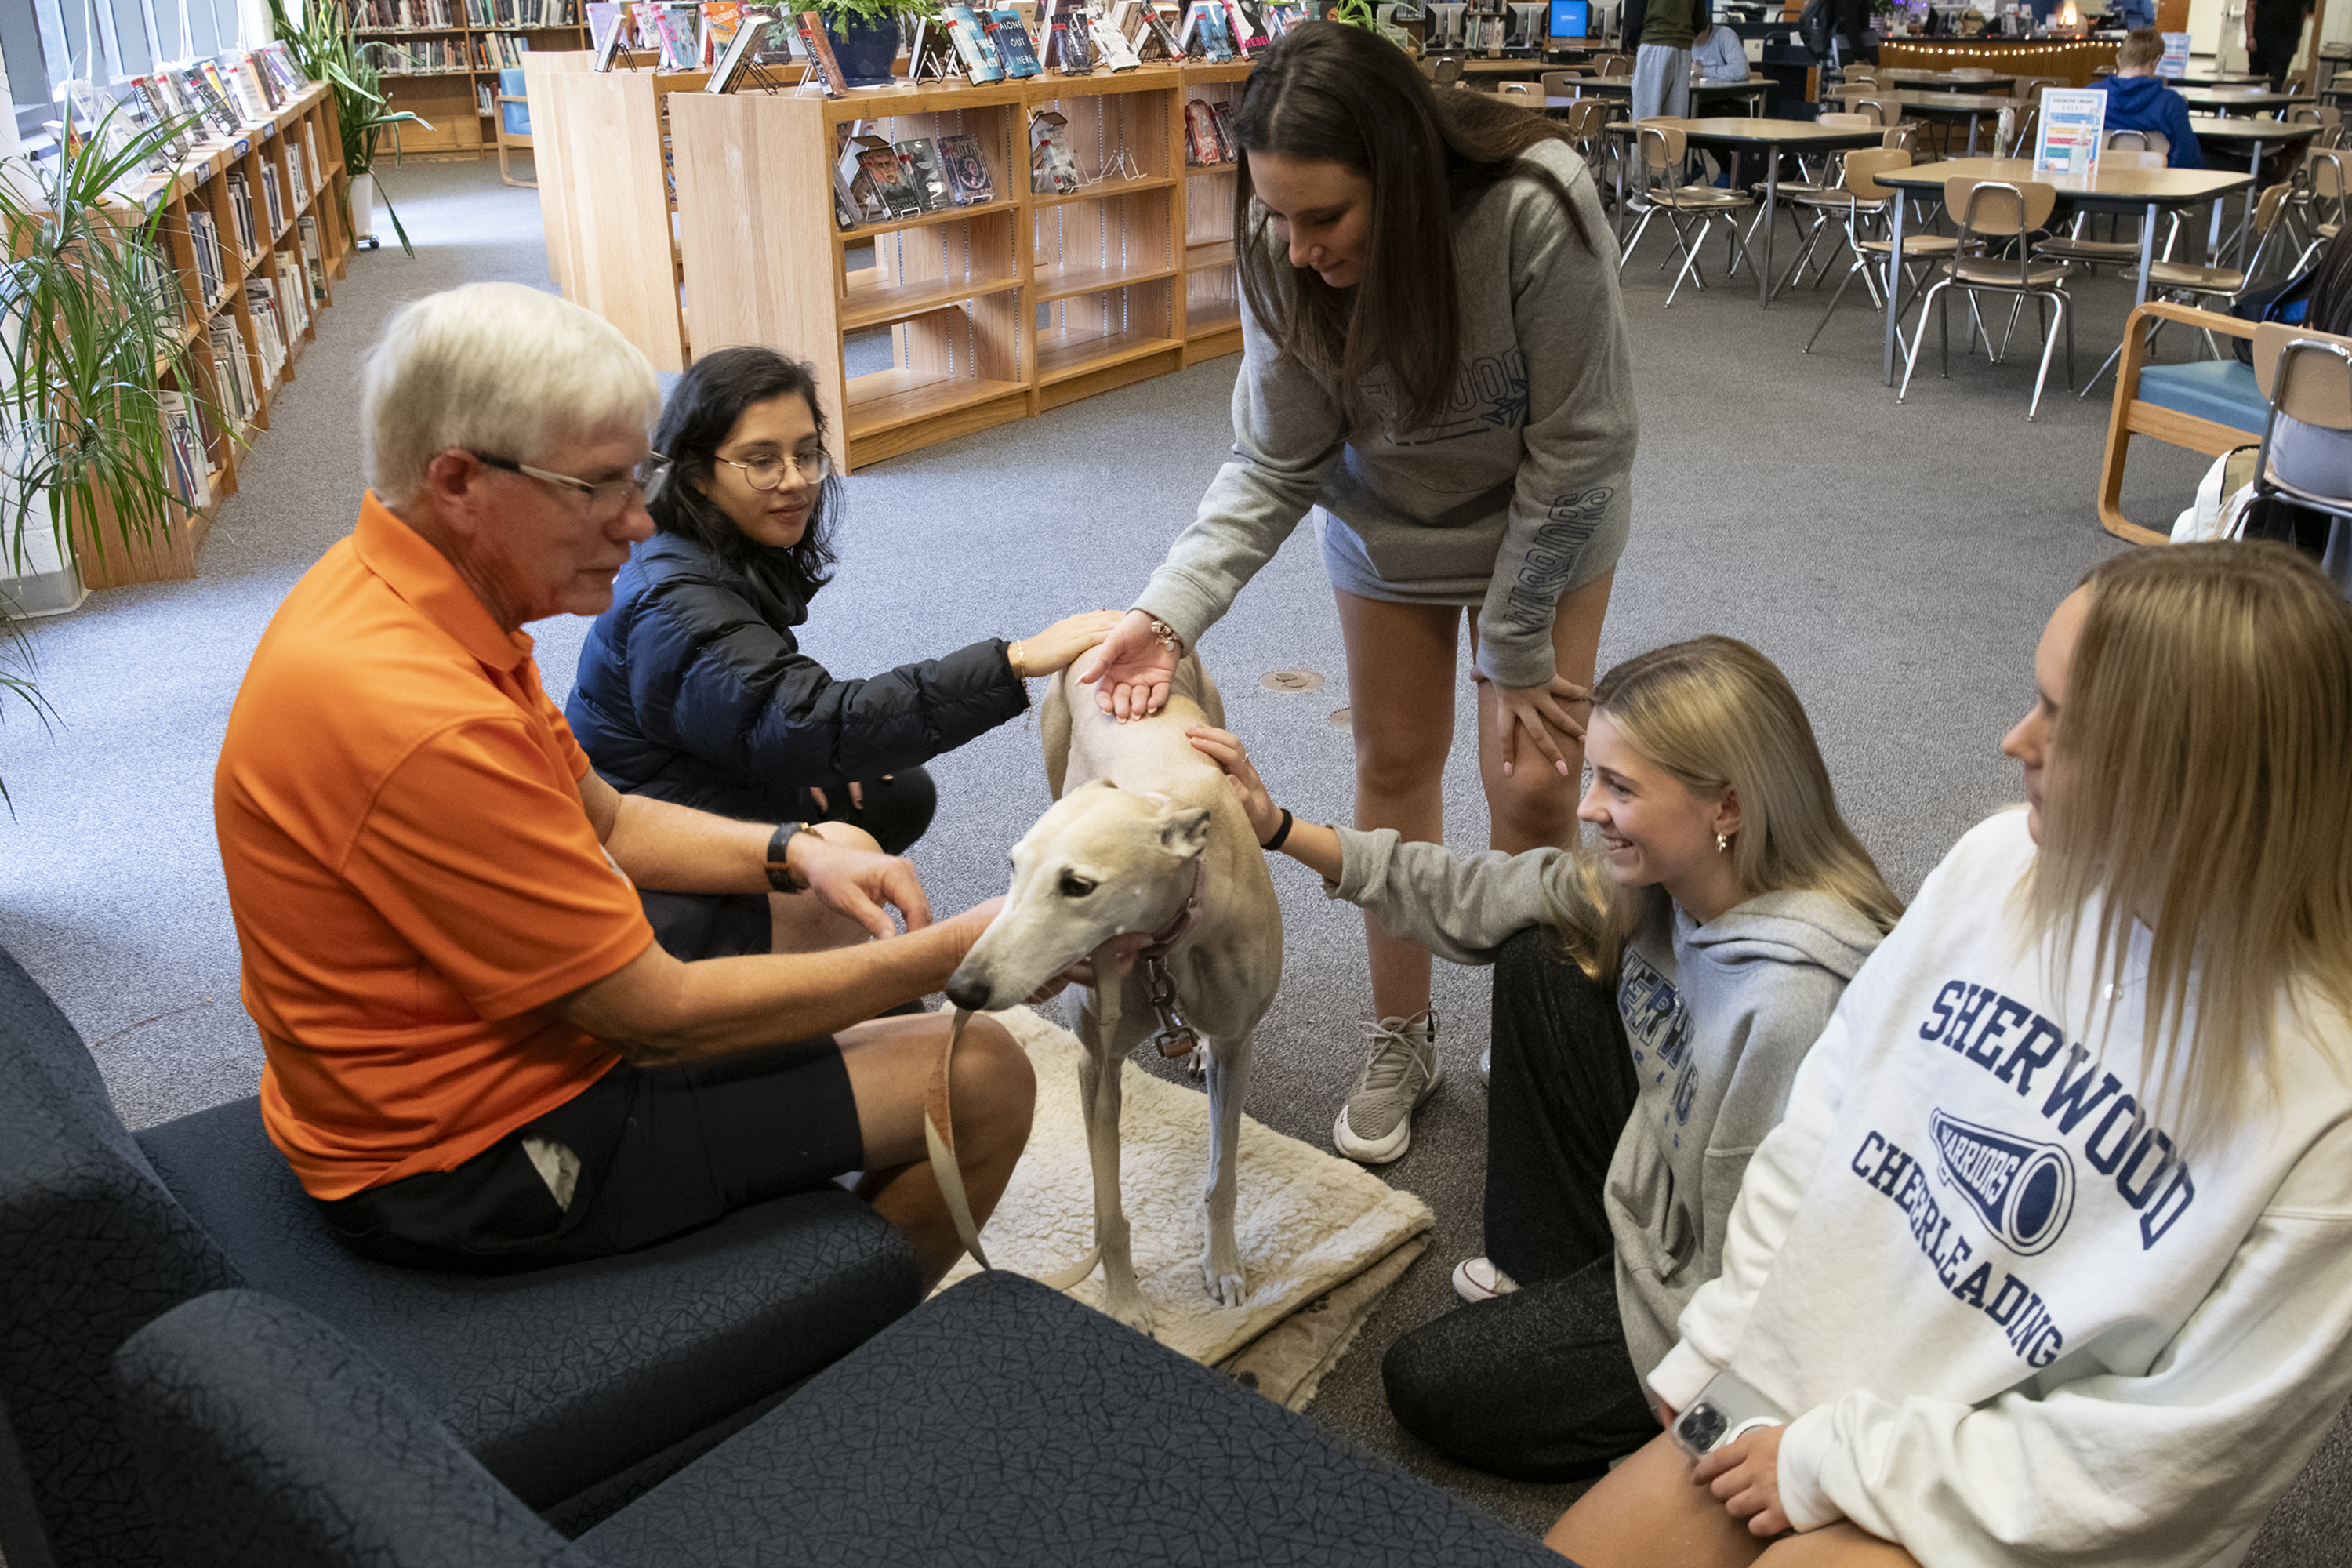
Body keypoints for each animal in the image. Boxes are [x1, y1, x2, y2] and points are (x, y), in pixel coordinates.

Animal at [946, 653, 1289, 1335]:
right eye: (1014, 867)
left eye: (1078, 885)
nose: (962, 988)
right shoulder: (1095, 1065)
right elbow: (1109, 1214)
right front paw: (1127, 1304)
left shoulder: (1239, 1044)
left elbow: (1223, 1177)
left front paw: (1224, 1266)